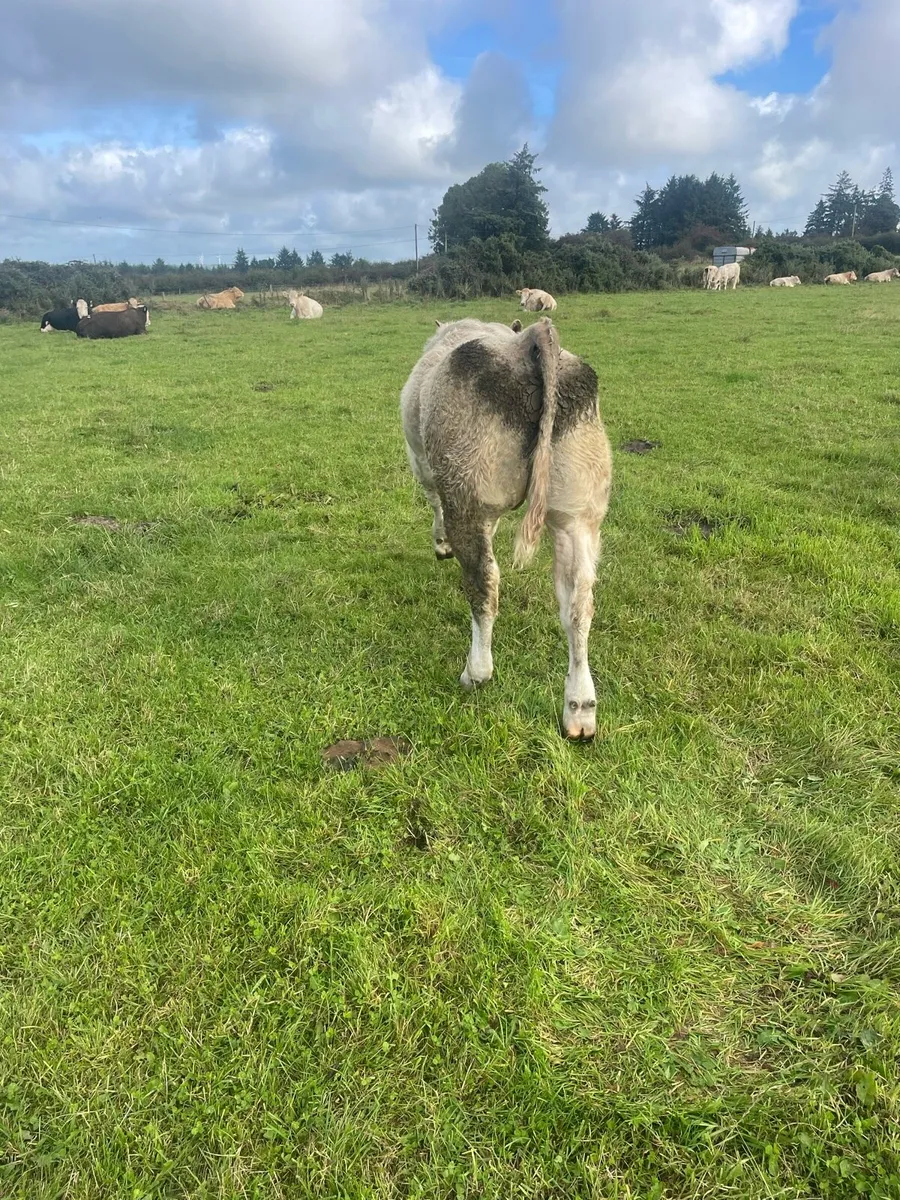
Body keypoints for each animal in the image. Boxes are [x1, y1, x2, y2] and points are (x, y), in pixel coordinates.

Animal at [400, 317, 612, 741]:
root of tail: (528, 341)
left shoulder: (423, 465)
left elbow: (433, 502)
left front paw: (440, 543)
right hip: (578, 512)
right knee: (579, 602)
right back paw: (579, 709)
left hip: (466, 491)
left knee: (484, 582)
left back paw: (477, 672)